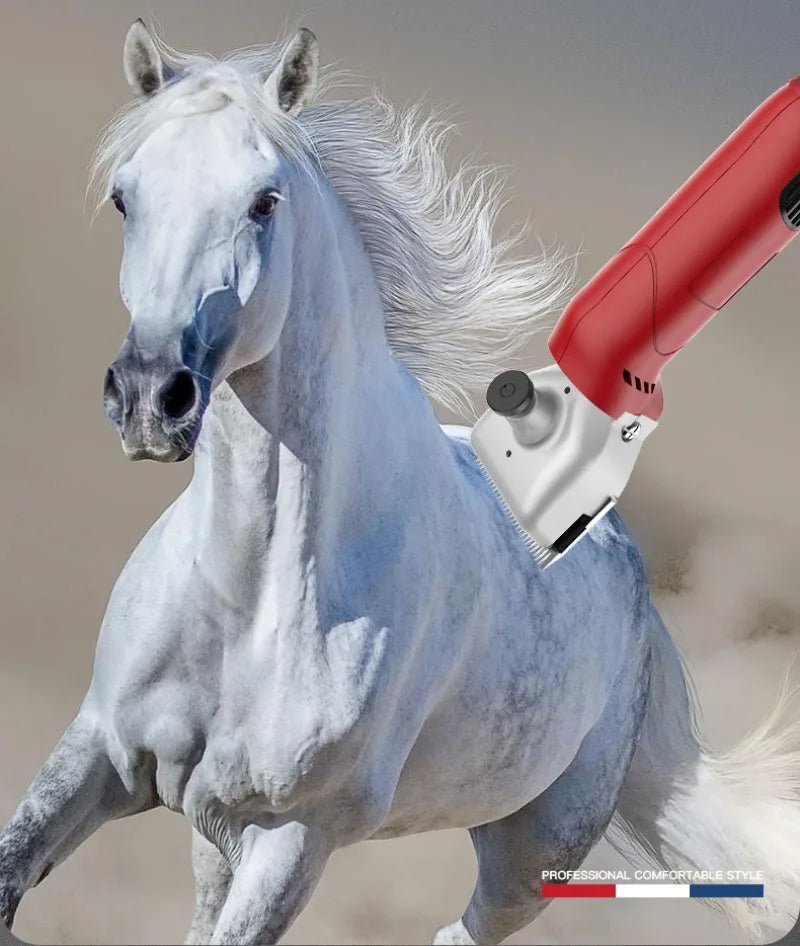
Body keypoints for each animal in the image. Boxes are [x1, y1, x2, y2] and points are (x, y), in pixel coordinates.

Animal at [1, 21, 798, 945]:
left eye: (264, 201)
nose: (147, 398)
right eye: (127, 197)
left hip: (531, 855)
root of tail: (635, 592)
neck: (253, 597)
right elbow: (12, 875)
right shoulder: (104, 749)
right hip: (214, 830)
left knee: (464, 931)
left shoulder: (294, 836)